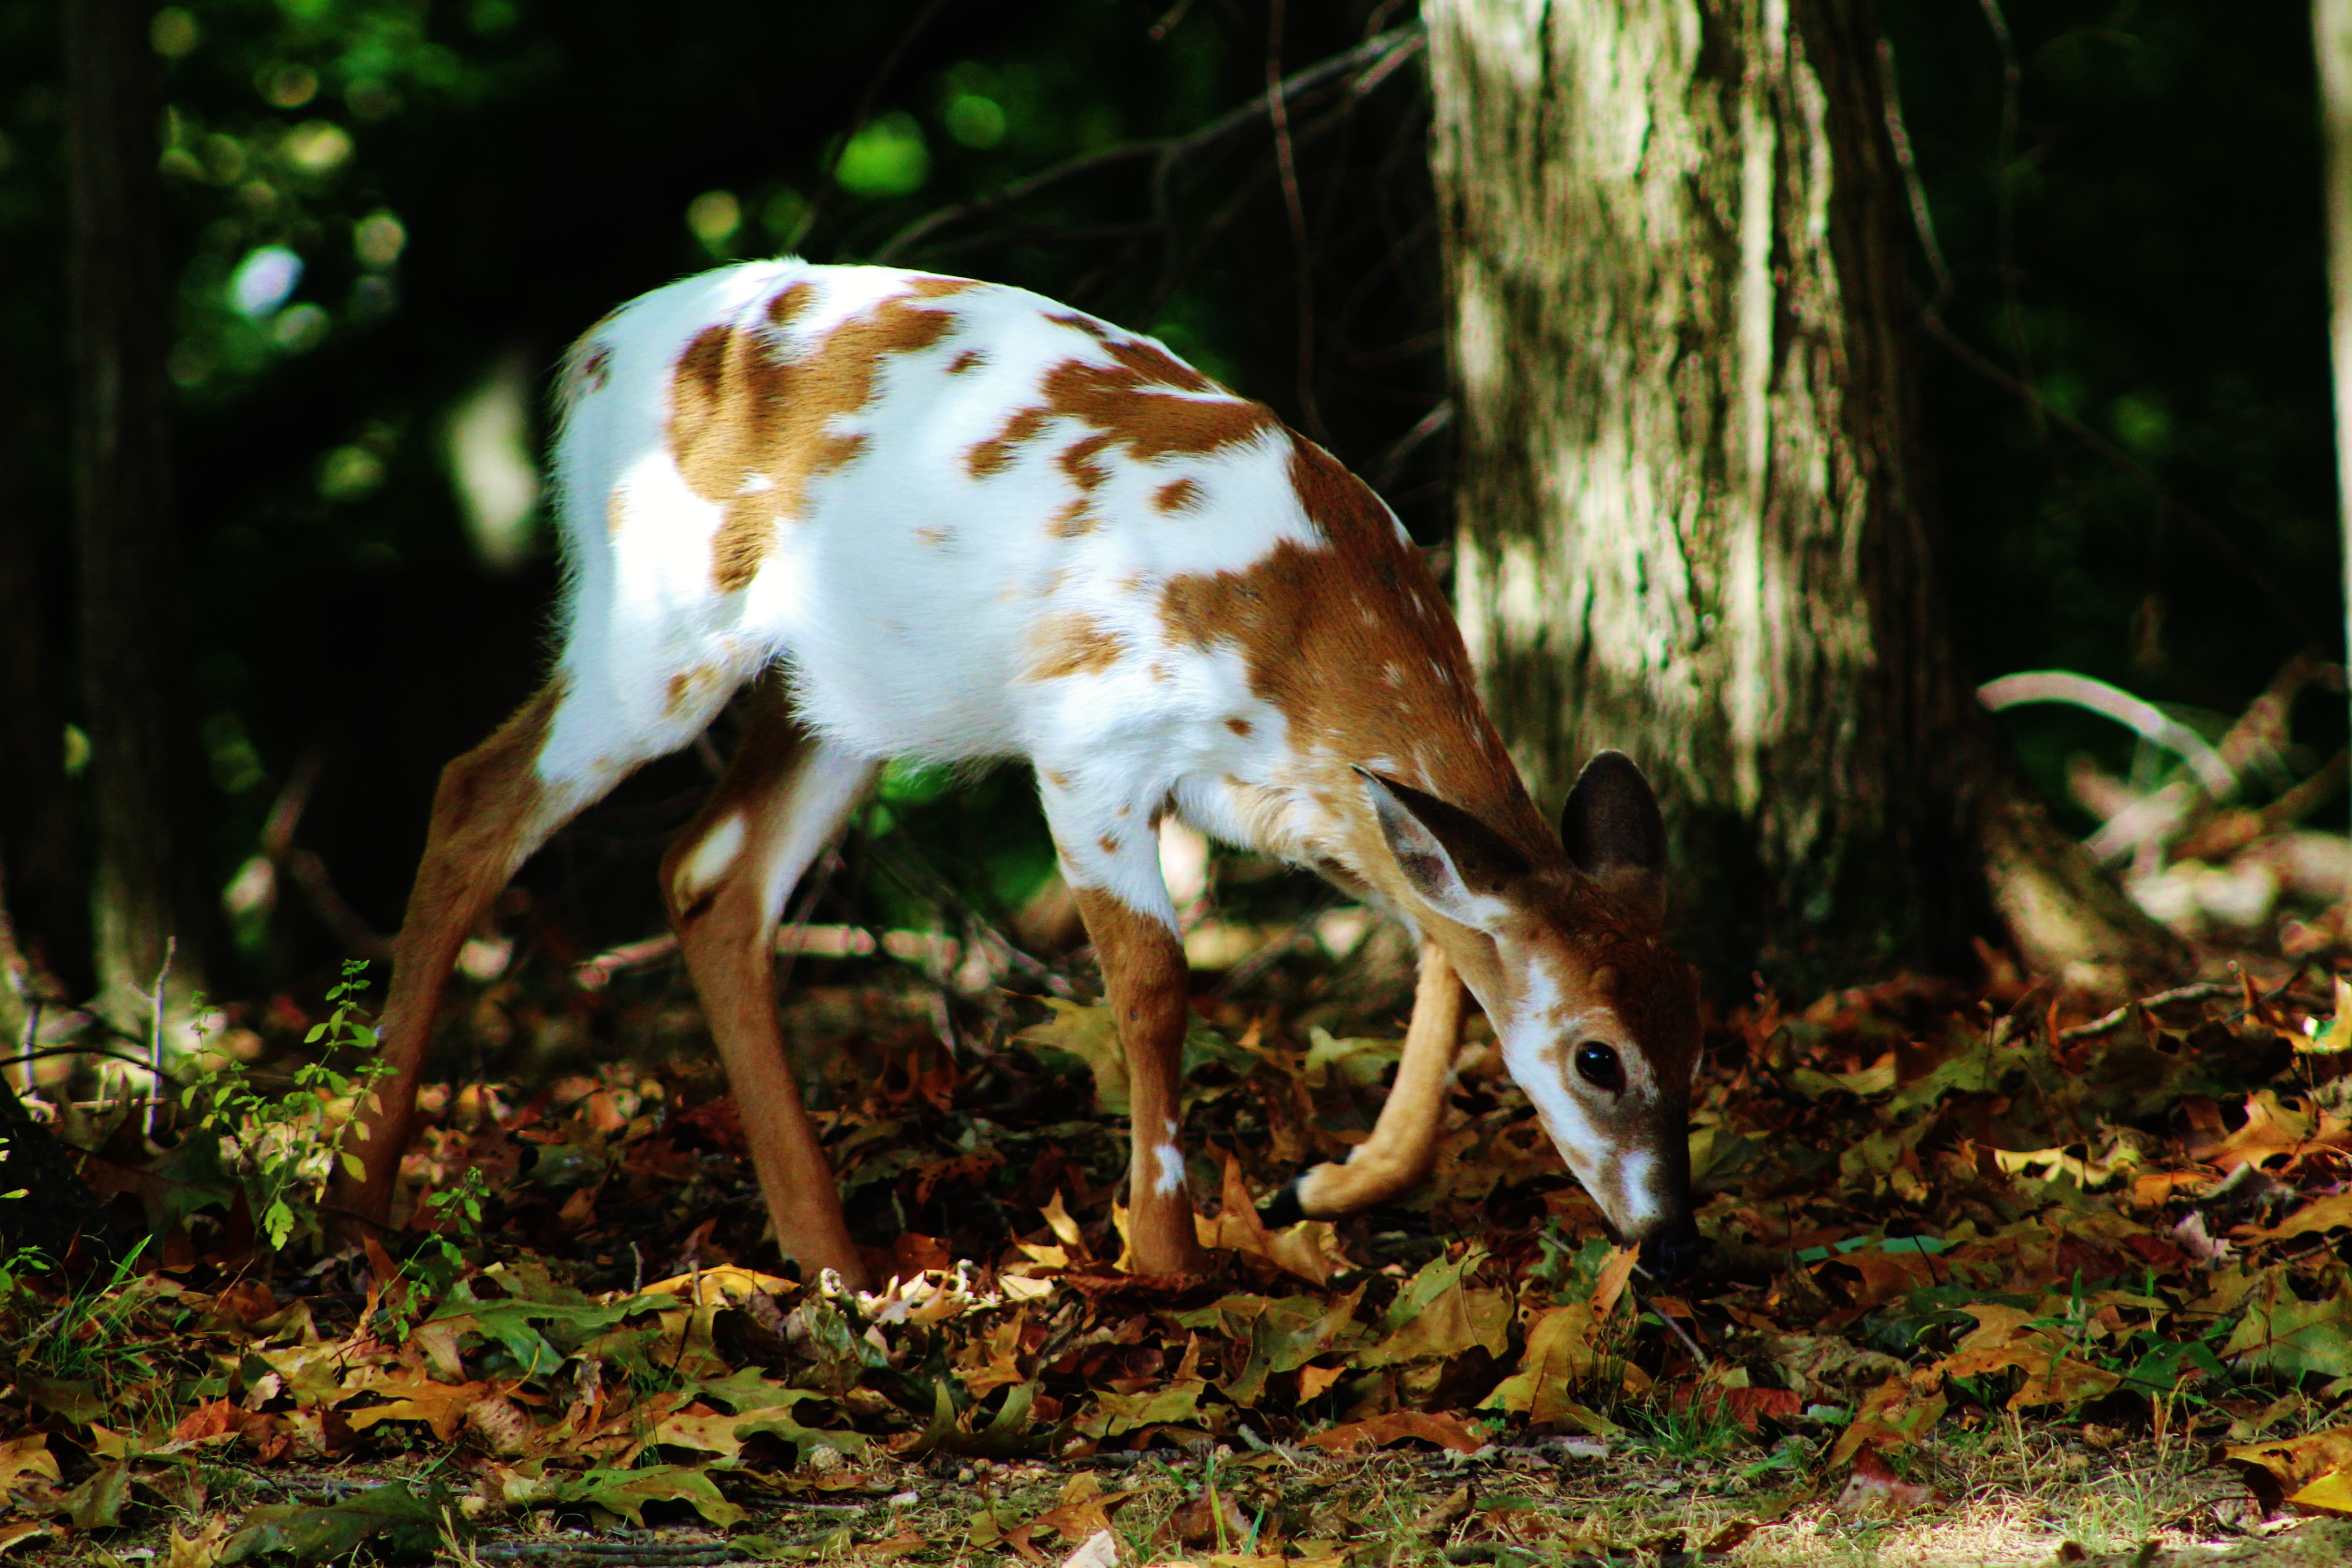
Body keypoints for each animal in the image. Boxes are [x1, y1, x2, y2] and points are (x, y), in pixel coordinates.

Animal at [331, 260, 1706, 1290]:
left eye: (1697, 1035)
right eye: (1597, 1057)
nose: (1675, 1236)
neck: (1302, 634)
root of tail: (592, 357)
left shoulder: (1298, 803)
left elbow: (1437, 943)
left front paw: (1349, 1178)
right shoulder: (1090, 735)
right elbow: (1154, 983)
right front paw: (1163, 1256)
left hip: (843, 692)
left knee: (712, 875)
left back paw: (830, 1257)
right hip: (664, 616)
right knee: (477, 794)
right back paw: (362, 1204)